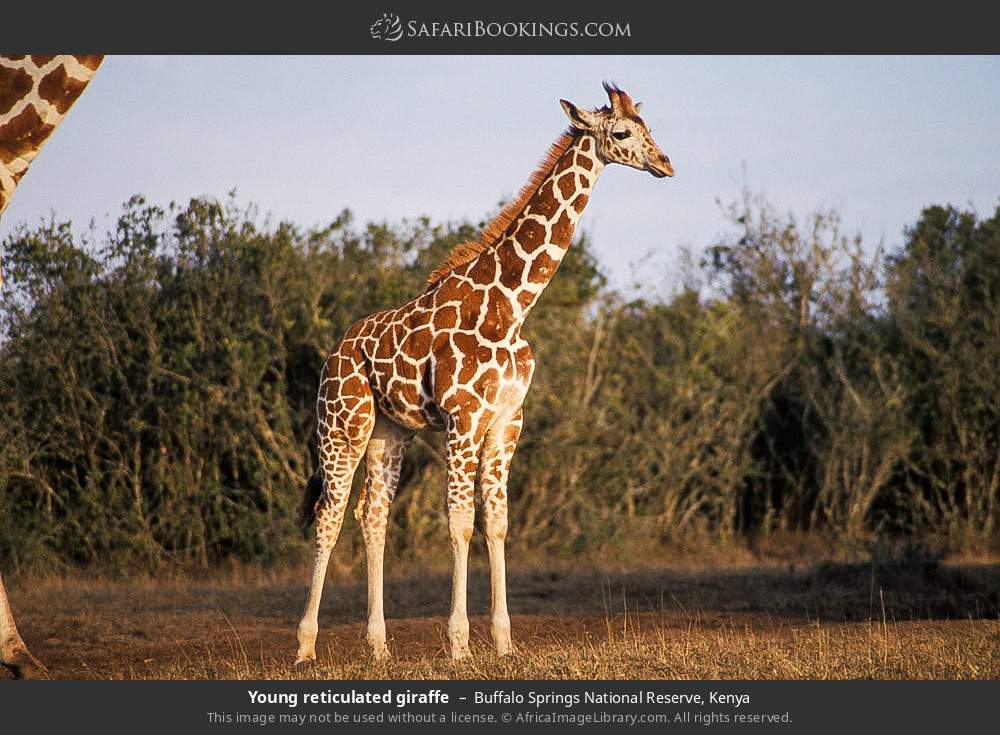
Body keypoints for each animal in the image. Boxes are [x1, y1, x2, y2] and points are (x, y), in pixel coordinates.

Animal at [295, 82, 674, 663]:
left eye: (649, 127)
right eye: (623, 131)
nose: (666, 163)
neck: (512, 306)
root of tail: (334, 353)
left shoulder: (506, 421)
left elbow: (496, 523)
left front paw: (503, 640)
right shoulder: (463, 418)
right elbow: (459, 524)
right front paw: (458, 643)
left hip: (389, 431)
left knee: (372, 514)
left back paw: (378, 647)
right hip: (342, 424)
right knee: (330, 516)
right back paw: (306, 647)